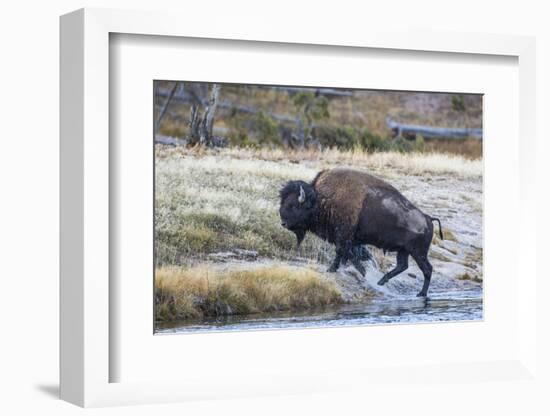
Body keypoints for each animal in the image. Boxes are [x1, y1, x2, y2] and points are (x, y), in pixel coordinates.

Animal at [280, 167, 444, 298]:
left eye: (293, 205)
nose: (283, 223)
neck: (321, 199)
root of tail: (428, 218)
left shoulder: (344, 236)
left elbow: (344, 253)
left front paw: (351, 271)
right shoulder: (348, 239)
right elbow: (348, 254)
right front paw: (341, 268)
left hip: (418, 252)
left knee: (427, 269)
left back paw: (421, 293)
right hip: (403, 251)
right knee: (402, 266)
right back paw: (381, 281)